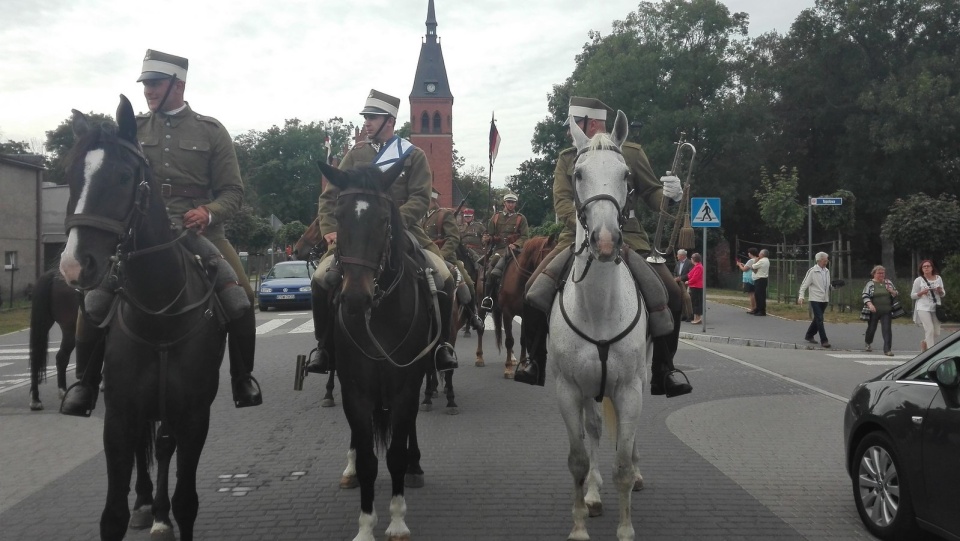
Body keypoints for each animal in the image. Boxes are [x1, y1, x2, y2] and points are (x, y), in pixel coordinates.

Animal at [28, 266, 80, 410]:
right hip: (71, 330)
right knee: (61, 357)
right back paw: (63, 392)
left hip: (45, 324)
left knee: (36, 357)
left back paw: (35, 399)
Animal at [59, 95, 228, 536]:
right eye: (69, 176)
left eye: (122, 177)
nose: (73, 266)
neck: (159, 313)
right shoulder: (119, 416)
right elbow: (113, 513)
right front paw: (137, 505)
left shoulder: (194, 416)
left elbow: (187, 500)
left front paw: (169, 512)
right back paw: (146, 504)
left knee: (163, 447)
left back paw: (160, 513)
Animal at [316, 158, 450, 536]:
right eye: (339, 216)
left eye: (383, 220)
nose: (354, 298)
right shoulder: (356, 388)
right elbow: (367, 458)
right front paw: (364, 527)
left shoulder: (405, 384)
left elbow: (395, 455)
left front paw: (397, 522)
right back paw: (349, 471)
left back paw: (415, 468)